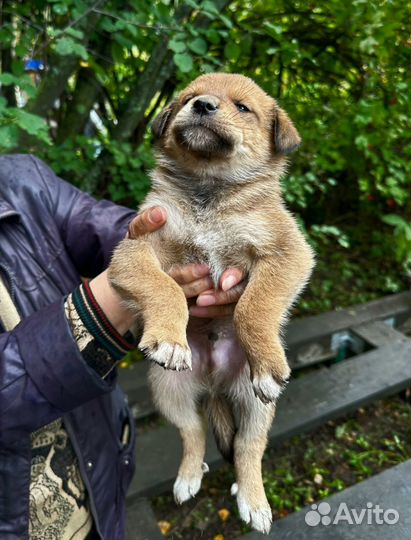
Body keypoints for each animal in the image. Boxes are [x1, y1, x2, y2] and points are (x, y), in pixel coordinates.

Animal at [109, 71, 316, 532]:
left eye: (242, 107)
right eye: (189, 96)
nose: (202, 105)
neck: (209, 190)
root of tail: (216, 381)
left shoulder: (288, 253)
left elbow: (254, 305)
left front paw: (265, 352)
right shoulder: (135, 248)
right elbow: (165, 288)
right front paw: (170, 339)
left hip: (257, 406)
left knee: (248, 448)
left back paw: (252, 500)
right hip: (169, 391)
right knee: (194, 433)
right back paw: (188, 478)